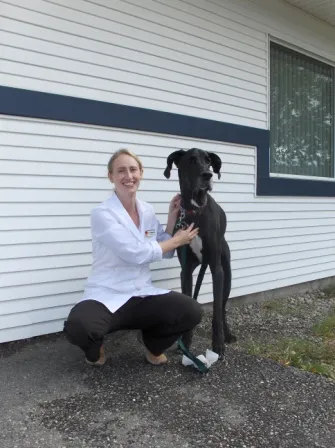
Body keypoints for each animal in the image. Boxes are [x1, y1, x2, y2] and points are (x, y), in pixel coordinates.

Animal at [164, 149, 235, 358]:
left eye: (208, 160)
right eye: (191, 160)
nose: (207, 175)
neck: (195, 211)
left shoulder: (217, 270)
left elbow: (216, 311)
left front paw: (218, 344)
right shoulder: (185, 270)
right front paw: (185, 341)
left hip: (227, 275)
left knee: (222, 307)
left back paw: (227, 335)